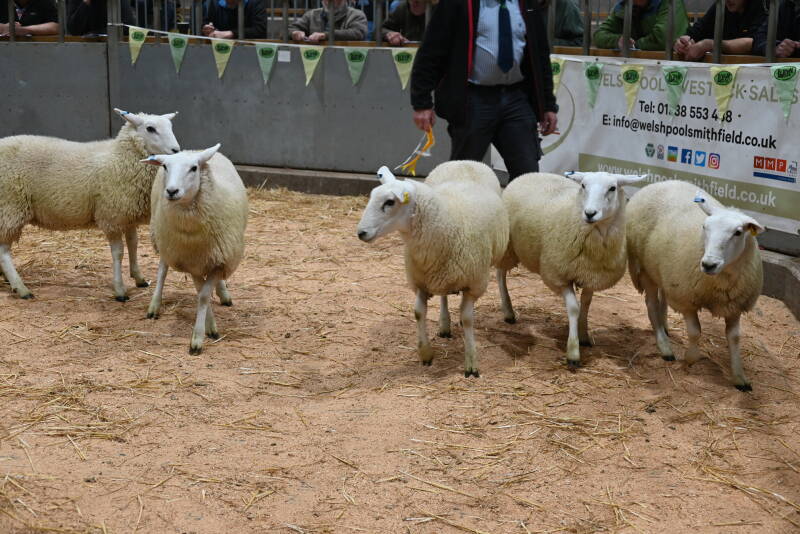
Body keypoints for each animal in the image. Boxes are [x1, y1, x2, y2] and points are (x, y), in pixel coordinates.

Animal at [0, 108, 180, 301]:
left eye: (170, 126)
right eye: (150, 128)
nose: (176, 150)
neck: (121, 157)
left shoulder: (127, 214)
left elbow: (133, 245)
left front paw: (139, 278)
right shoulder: (112, 216)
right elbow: (118, 253)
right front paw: (120, 290)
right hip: (10, 207)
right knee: (3, 252)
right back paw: (21, 288)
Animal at [141, 144, 248, 355]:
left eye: (194, 168)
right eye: (165, 166)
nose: (171, 191)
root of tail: (193, 150)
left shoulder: (218, 259)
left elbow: (204, 295)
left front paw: (202, 334)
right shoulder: (190, 262)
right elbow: (201, 294)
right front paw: (206, 330)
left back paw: (223, 293)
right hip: (163, 238)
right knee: (162, 270)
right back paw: (154, 305)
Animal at [356, 161, 509, 377]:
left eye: (390, 202)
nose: (361, 233)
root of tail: (464, 161)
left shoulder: (474, 284)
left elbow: (467, 319)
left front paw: (471, 362)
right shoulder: (420, 281)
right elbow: (418, 313)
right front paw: (426, 353)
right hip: (440, 275)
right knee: (443, 295)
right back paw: (444, 324)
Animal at [497, 171, 646, 368]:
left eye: (612, 188)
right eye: (583, 185)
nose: (590, 213)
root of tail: (529, 174)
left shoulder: (592, 276)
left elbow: (586, 305)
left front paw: (584, 336)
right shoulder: (560, 276)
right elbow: (574, 309)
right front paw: (573, 352)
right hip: (508, 246)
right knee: (500, 274)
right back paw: (508, 311)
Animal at [626, 180, 764, 391]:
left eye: (738, 232)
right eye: (704, 227)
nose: (708, 264)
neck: (721, 282)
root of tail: (660, 182)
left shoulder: (735, 305)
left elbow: (734, 338)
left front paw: (739, 377)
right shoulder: (686, 299)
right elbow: (695, 331)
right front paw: (690, 359)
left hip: (663, 270)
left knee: (662, 299)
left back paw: (664, 325)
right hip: (646, 267)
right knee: (651, 304)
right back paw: (664, 345)